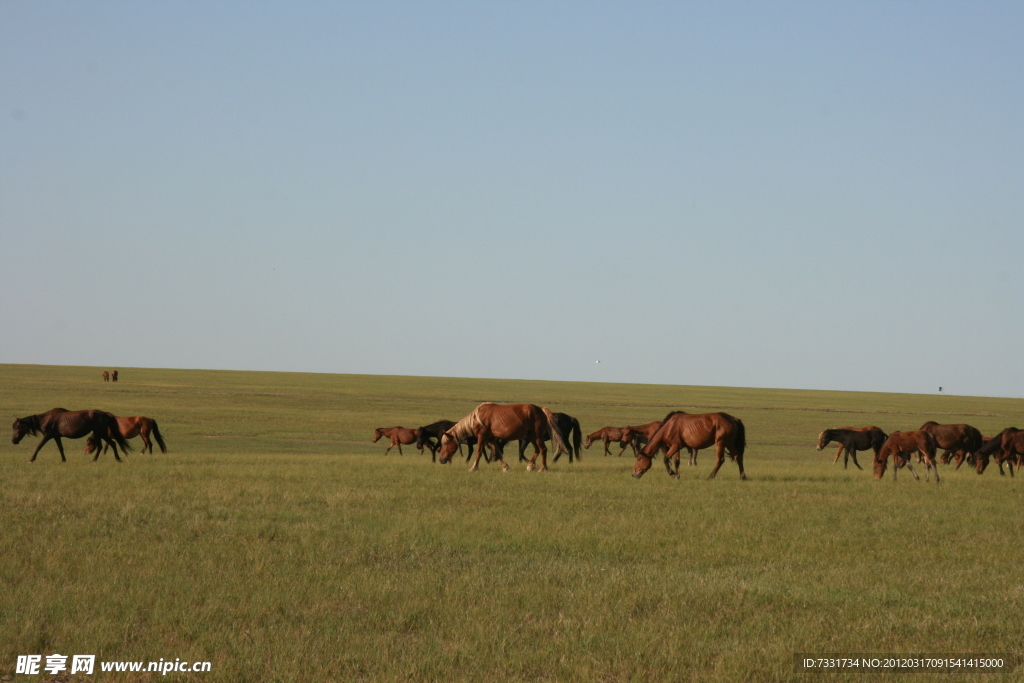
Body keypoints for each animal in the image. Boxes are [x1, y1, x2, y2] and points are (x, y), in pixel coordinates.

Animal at [438, 403, 569, 473]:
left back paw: (542, 468)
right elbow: (498, 452)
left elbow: (479, 452)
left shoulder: (482, 436)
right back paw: (530, 465)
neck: (477, 418)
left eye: (446, 443)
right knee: (537, 450)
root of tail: (541, 410)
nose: (441, 460)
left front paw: (473, 468)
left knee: (543, 449)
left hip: (537, 436)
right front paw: (505, 467)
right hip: (531, 436)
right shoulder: (490, 438)